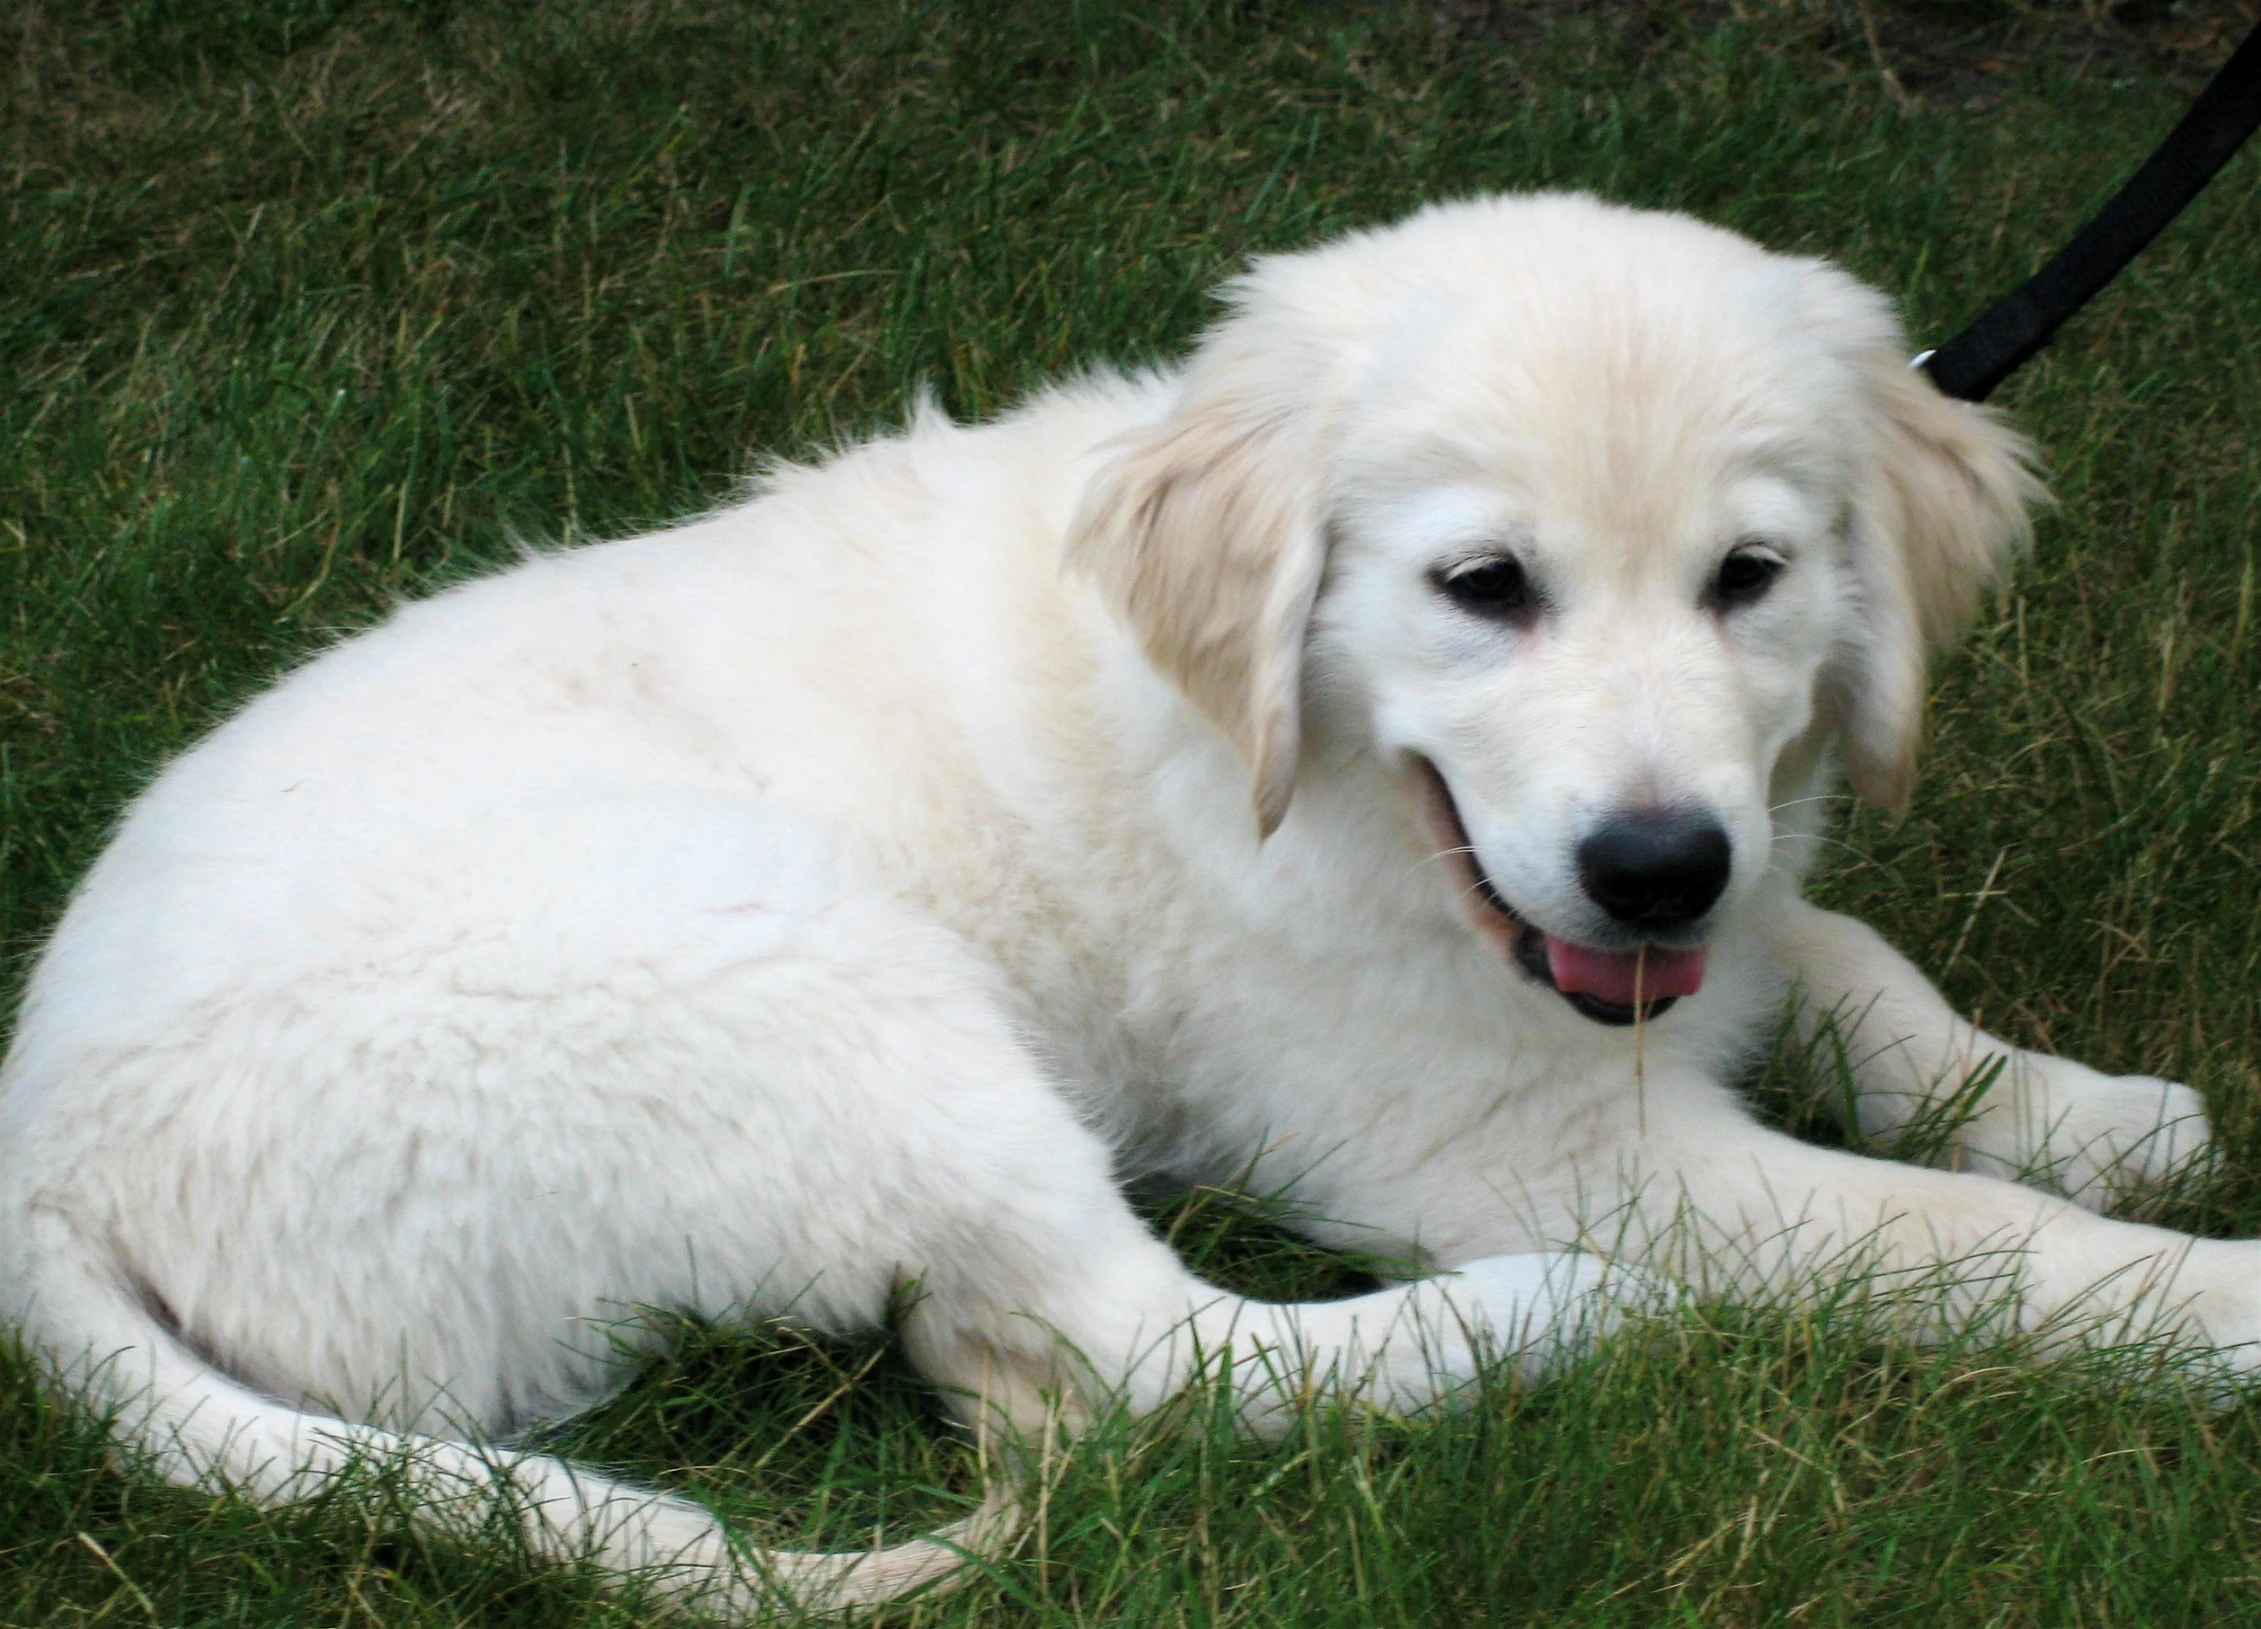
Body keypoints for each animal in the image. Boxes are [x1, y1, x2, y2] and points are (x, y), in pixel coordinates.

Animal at [0, 194, 2224, 1619]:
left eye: (1749, 578)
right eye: (1481, 586)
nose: (1652, 861)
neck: (1320, 783)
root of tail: (43, 1163)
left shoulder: (1699, 925)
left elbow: (1848, 962)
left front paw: (2087, 1109)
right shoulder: (1510, 1131)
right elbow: (1949, 1239)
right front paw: (2210, 1304)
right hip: (798, 972)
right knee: (1156, 1356)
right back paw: (1558, 1320)